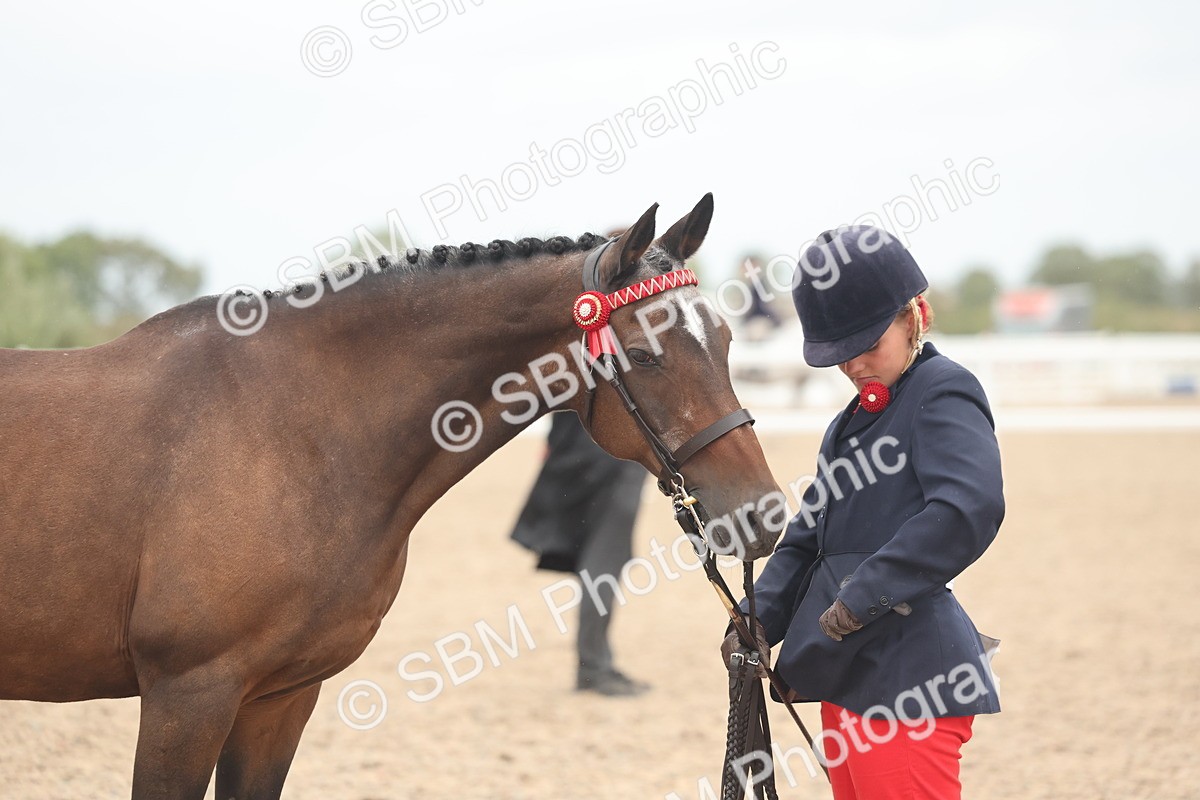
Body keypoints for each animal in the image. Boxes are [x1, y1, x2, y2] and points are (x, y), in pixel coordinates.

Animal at [0, 194, 783, 799]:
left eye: (725, 339)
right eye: (646, 354)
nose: (764, 514)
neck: (290, 428)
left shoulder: (279, 698)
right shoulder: (187, 694)